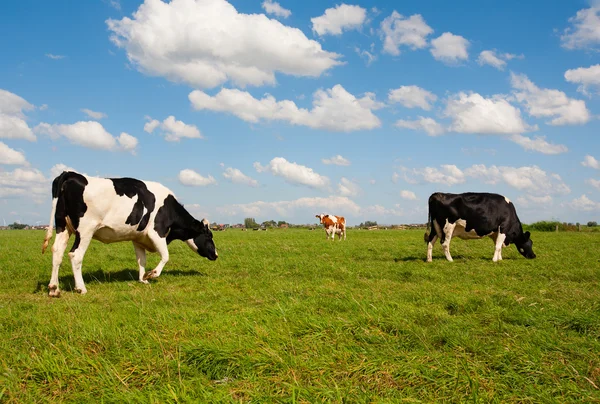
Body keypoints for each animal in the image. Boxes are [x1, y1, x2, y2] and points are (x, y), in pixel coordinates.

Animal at [42, 170, 220, 296]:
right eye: (209, 236)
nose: (216, 255)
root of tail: (70, 173)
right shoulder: (157, 232)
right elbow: (166, 256)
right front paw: (152, 275)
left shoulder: (138, 238)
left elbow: (141, 260)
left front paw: (143, 279)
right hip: (86, 230)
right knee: (75, 255)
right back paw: (81, 288)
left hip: (63, 226)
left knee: (57, 251)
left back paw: (54, 288)